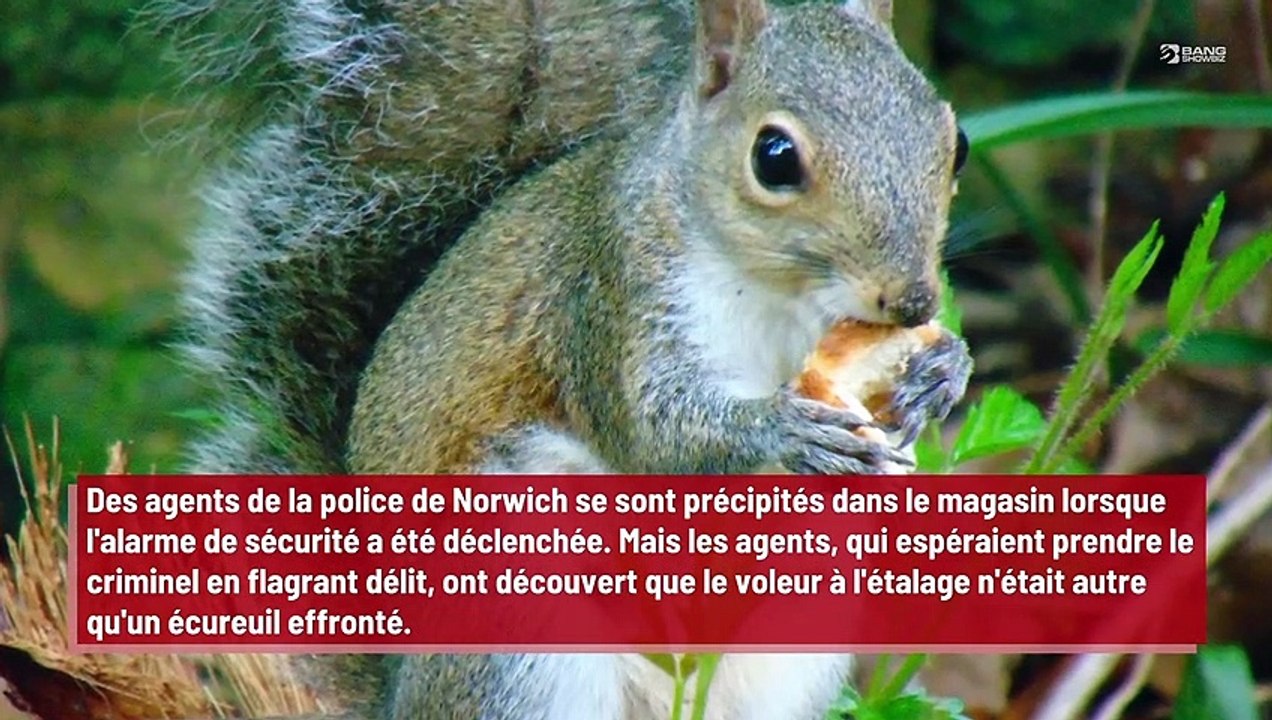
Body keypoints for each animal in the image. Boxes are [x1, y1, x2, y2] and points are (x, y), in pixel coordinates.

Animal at [172, 0, 974, 717]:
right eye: (774, 158)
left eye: (958, 140)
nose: (912, 302)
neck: (779, 294)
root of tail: (397, 691)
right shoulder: (608, 298)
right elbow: (654, 437)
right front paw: (786, 429)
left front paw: (942, 372)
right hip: (516, 634)